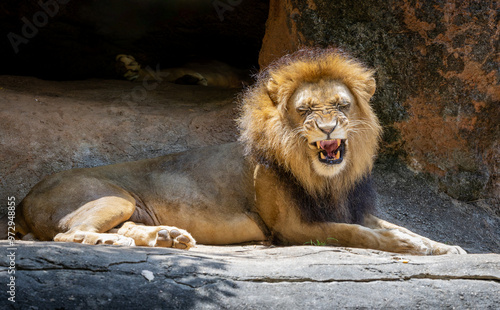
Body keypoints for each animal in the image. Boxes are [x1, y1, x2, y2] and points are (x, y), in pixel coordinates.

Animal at [7, 47, 466, 254]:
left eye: (340, 105)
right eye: (306, 110)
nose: (328, 128)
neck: (325, 178)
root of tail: (24, 198)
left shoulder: (346, 207)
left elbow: (395, 227)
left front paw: (447, 247)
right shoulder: (293, 228)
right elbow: (358, 234)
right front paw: (412, 247)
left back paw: (166, 237)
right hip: (113, 197)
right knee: (66, 234)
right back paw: (113, 242)